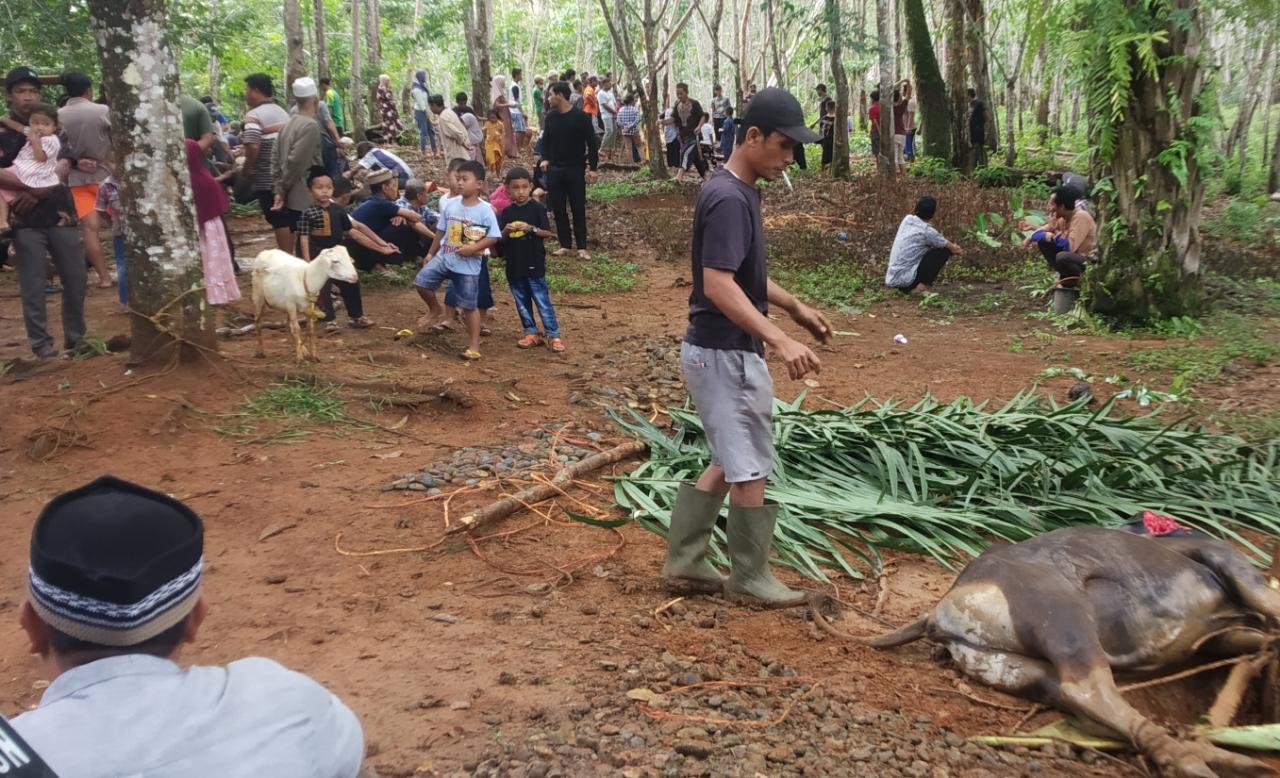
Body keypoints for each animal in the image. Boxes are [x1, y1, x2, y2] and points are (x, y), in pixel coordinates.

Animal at [870, 516, 1280, 778]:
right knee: (1088, 689)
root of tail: (937, 612)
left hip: (1010, 666)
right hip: (1064, 622)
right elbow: (1268, 604)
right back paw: (1197, 761)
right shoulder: (1228, 562)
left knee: (1079, 702)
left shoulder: (1216, 639)